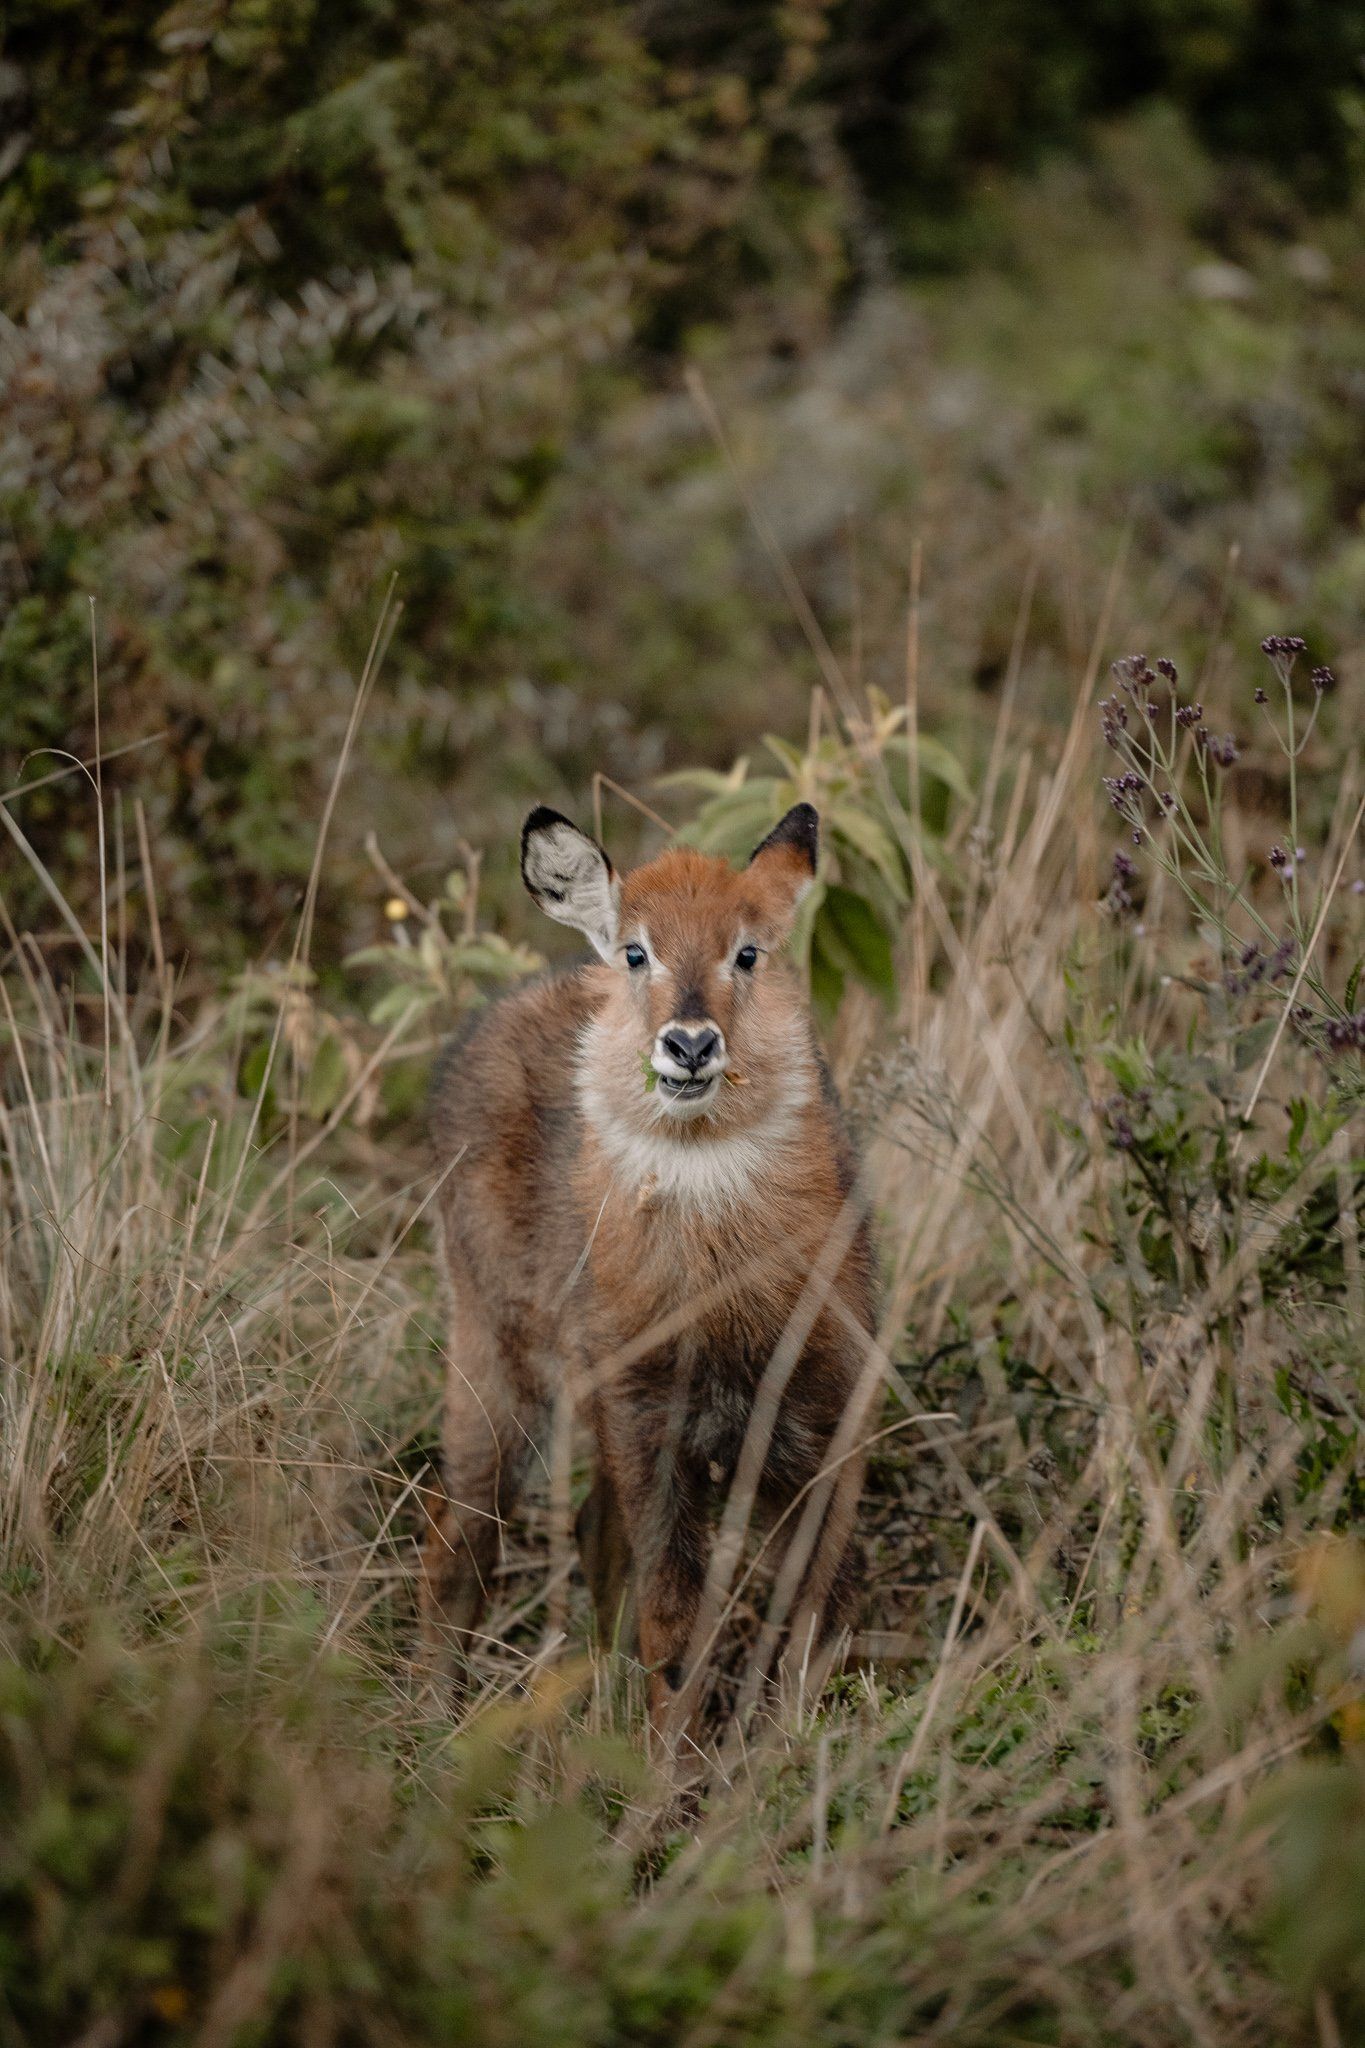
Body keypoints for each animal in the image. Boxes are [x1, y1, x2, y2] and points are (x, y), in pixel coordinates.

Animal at [419, 800, 878, 1739]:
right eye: (636, 950)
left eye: (748, 950)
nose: (690, 1045)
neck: (725, 1306)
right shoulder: (649, 1429)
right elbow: (674, 1624)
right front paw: (675, 1765)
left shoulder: (828, 1428)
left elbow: (814, 1617)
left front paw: (789, 1752)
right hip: (496, 1359)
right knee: (459, 1537)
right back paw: (429, 1719)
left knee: (588, 1537)